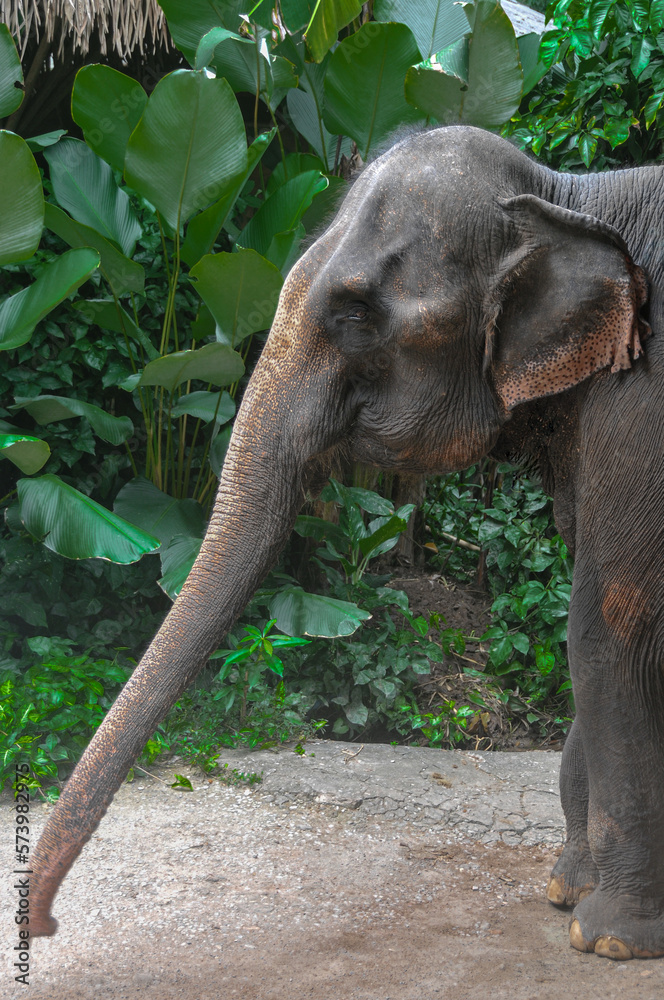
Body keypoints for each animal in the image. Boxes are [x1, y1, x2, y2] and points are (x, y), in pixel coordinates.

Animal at [28, 125, 664, 960]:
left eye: (356, 313)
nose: (40, 925)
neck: (571, 195)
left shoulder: (648, 403)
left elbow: (609, 624)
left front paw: (610, 939)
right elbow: (586, 604)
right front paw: (566, 892)